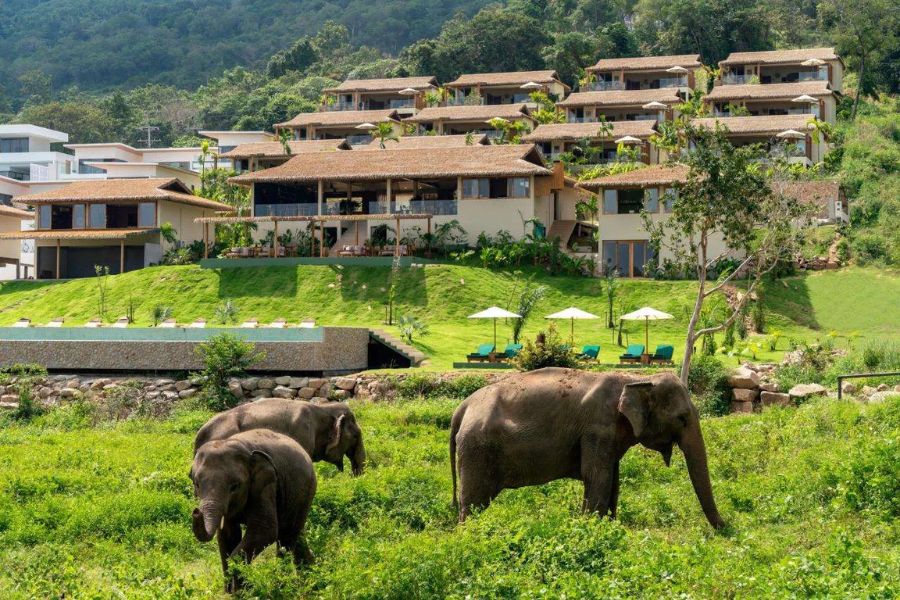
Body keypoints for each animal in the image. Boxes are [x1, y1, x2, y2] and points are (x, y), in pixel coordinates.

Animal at [190, 428, 316, 592]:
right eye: (196, 484)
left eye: (234, 487)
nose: (196, 511)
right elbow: (227, 535)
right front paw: (232, 591)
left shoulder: (266, 484)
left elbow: (265, 531)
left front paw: (242, 590)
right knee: (296, 534)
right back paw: (311, 577)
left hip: (304, 490)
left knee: (286, 537)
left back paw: (284, 582)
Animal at [448, 366, 724, 528]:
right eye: (682, 418)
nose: (724, 529)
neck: (635, 380)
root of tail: (463, 406)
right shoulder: (597, 429)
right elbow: (597, 478)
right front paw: (593, 528)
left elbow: (613, 481)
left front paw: (611, 527)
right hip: (477, 449)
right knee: (473, 503)